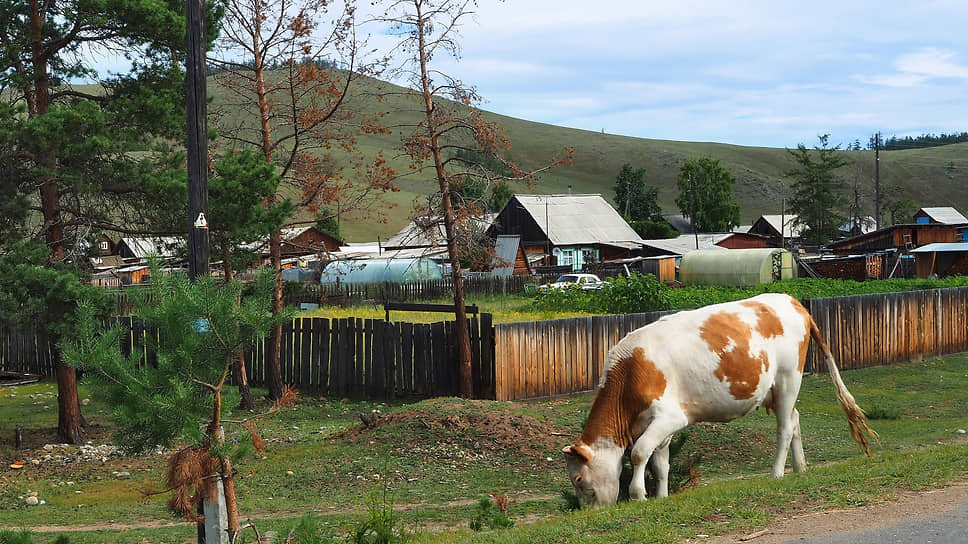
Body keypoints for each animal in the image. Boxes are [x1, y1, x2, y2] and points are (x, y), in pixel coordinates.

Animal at [564, 294, 880, 506]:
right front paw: (662, 497)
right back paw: (800, 467)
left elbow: (640, 453)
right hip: (779, 390)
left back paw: (777, 473)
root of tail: (792, 301)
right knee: (795, 419)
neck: (631, 370)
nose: (590, 512)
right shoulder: (658, 426)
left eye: (578, 479)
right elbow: (660, 463)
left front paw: (639, 496)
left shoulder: (670, 417)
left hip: (790, 377)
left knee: (785, 429)